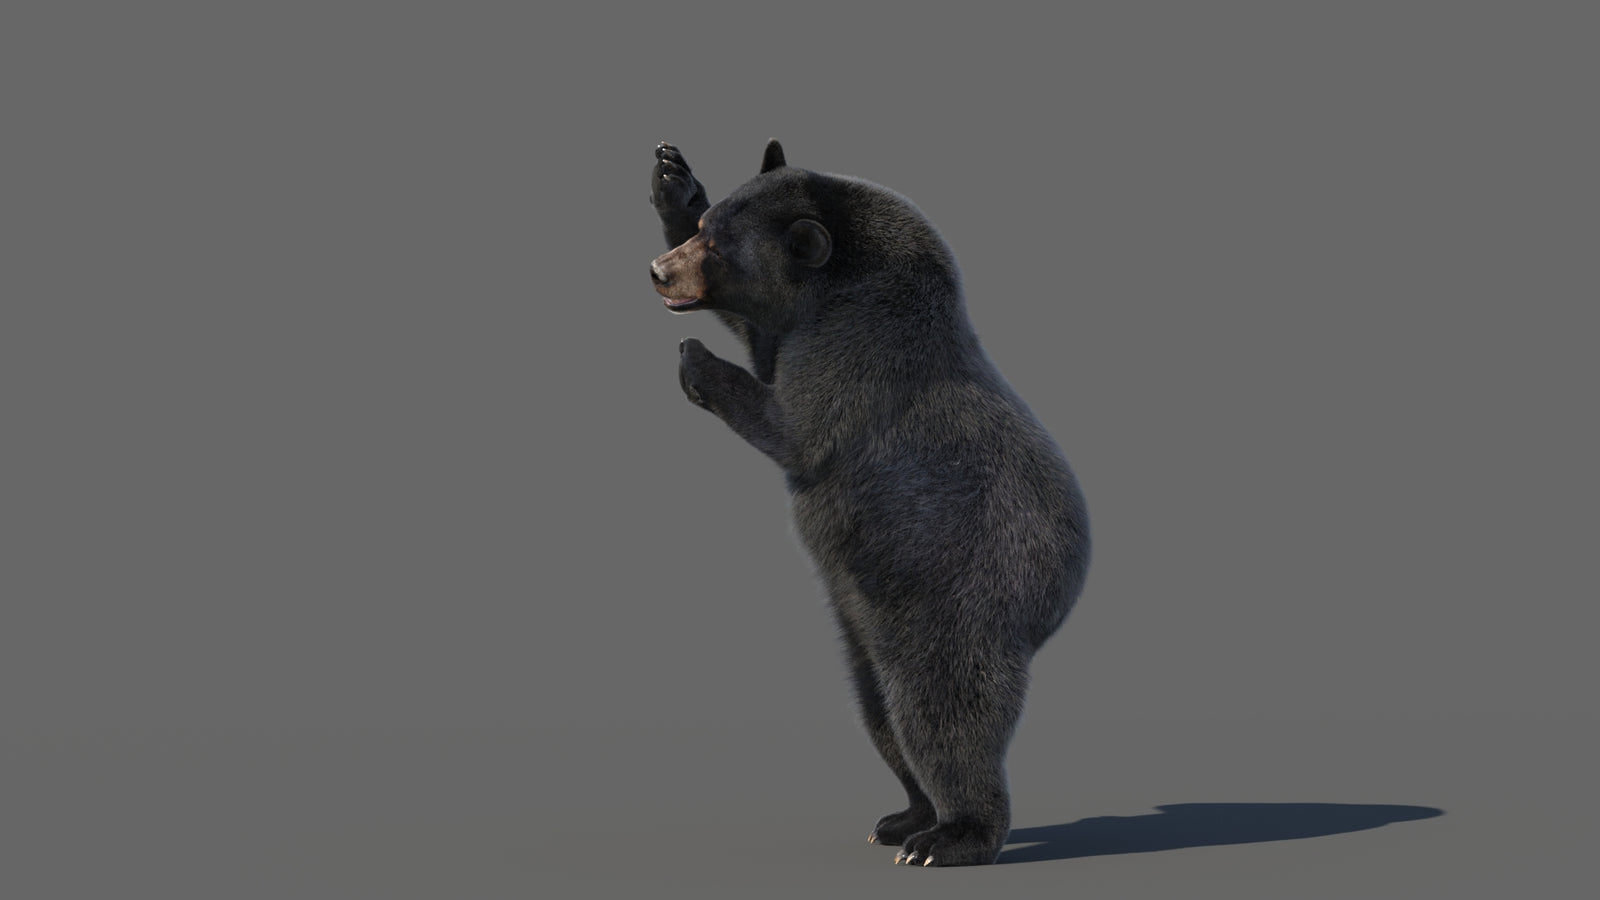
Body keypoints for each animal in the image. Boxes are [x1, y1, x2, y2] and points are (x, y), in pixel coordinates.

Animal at [647, 140, 1090, 867]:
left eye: (719, 249)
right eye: (707, 227)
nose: (658, 272)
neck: (842, 281)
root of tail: (1058, 600)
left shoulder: (858, 348)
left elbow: (794, 425)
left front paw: (695, 358)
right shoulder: (802, 323)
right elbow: (760, 337)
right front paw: (671, 179)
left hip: (960, 602)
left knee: (942, 716)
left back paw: (952, 836)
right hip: (865, 620)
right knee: (878, 710)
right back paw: (904, 817)